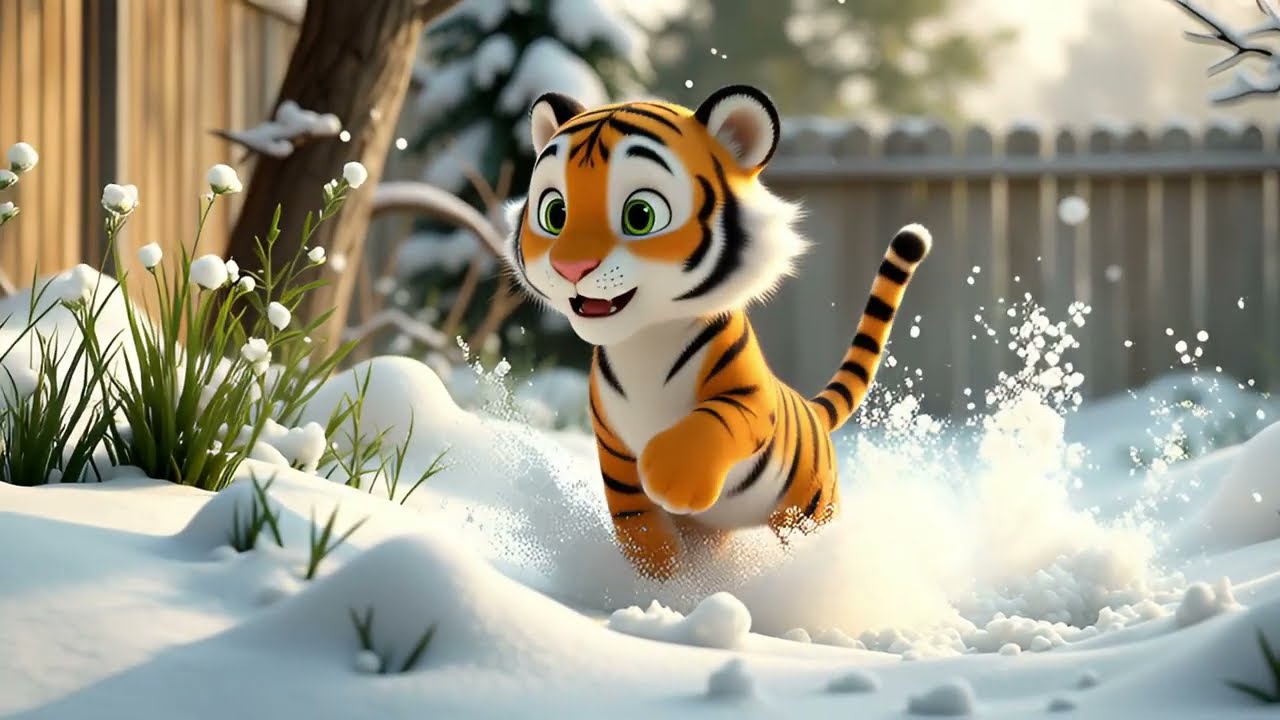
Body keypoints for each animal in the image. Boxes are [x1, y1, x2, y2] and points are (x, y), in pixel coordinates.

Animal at [502, 83, 933, 581]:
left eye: (640, 215)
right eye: (555, 213)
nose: (570, 267)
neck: (643, 340)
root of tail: (810, 409)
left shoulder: (749, 398)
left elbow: (711, 423)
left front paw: (672, 478)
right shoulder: (612, 445)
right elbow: (636, 522)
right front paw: (663, 582)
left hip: (809, 507)